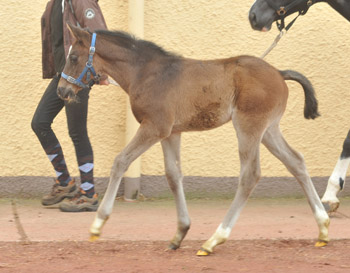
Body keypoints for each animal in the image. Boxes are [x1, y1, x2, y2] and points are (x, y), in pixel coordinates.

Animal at [56, 23, 328, 255]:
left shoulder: (154, 127)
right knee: (296, 161)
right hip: (269, 130)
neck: (145, 72)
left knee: (250, 175)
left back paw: (214, 240)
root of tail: (280, 73)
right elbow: (173, 176)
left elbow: (120, 161)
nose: (61, 90)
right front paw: (180, 233)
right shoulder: (170, 132)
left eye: (73, 57)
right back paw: (323, 228)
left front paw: (98, 224)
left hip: (249, 127)